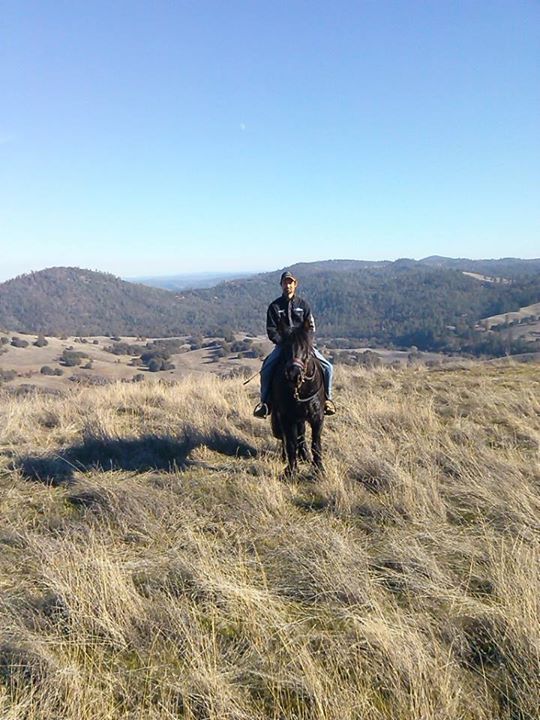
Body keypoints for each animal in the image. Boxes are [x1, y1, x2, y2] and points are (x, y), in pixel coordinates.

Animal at [270, 320, 325, 477]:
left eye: (306, 348)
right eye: (285, 348)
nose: (294, 374)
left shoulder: (317, 417)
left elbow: (316, 443)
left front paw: (319, 469)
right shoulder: (287, 417)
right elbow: (291, 442)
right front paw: (291, 470)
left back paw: (305, 456)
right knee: (287, 437)